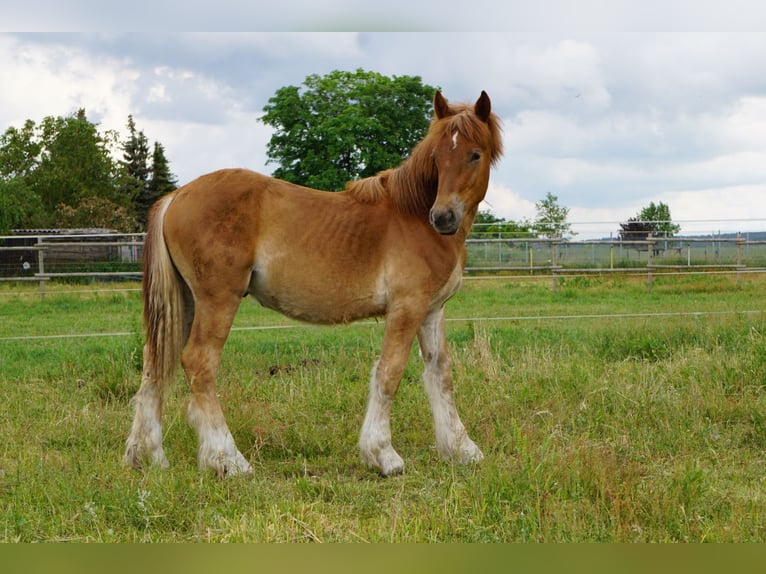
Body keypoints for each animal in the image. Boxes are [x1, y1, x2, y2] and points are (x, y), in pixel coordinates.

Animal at [124, 89, 508, 476]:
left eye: (474, 154)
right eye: (437, 156)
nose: (443, 217)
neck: (412, 215)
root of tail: (176, 196)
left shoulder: (431, 311)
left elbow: (440, 374)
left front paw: (462, 449)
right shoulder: (406, 307)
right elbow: (389, 372)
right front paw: (383, 455)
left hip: (185, 302)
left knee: (154, 364)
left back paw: (146, 456)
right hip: (218, 300)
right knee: (199, 363)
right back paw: (229, 459)